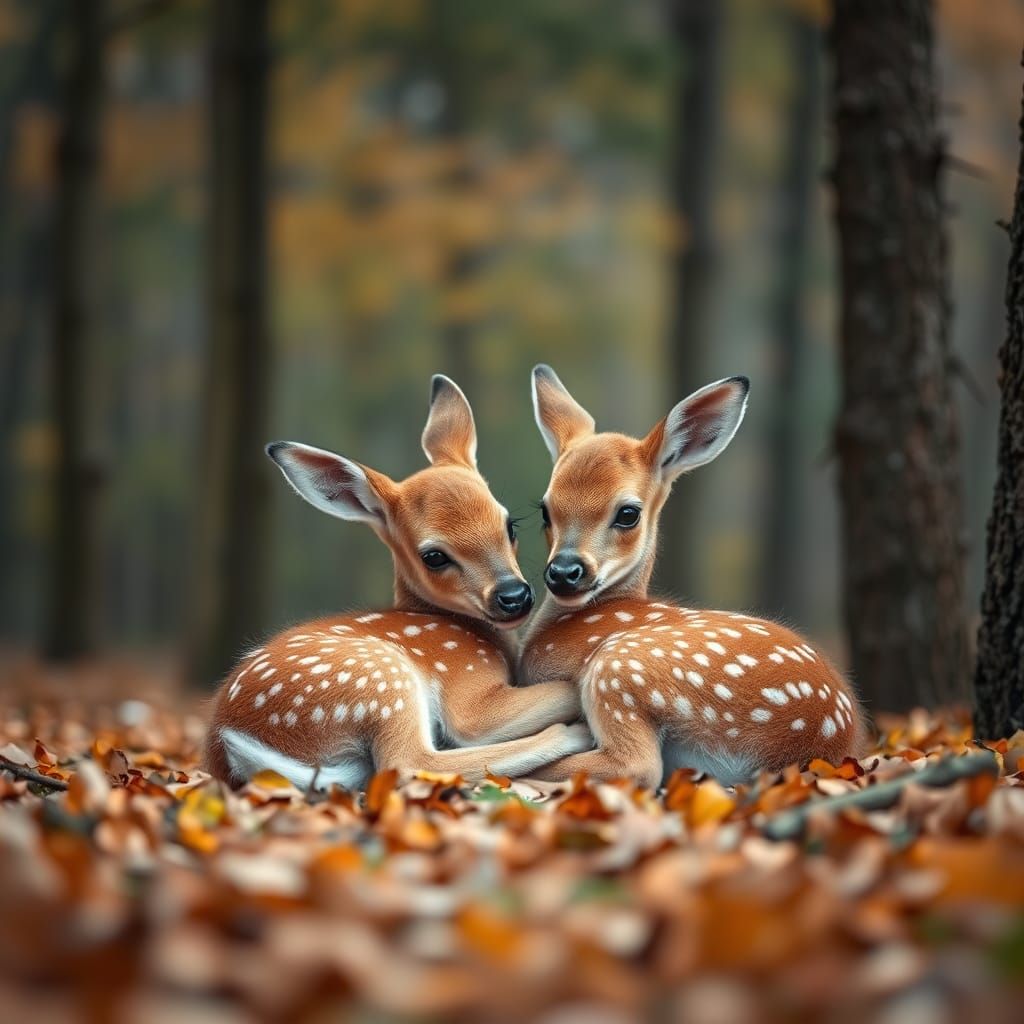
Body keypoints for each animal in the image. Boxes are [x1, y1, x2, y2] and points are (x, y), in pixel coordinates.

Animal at [204, 375, 591, 790]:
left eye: (510, 524)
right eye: (434, 556)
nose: (514, 595)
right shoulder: (468, 690)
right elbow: (556, 690)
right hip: (382, 678)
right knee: (406, 761)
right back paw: (575, 733)